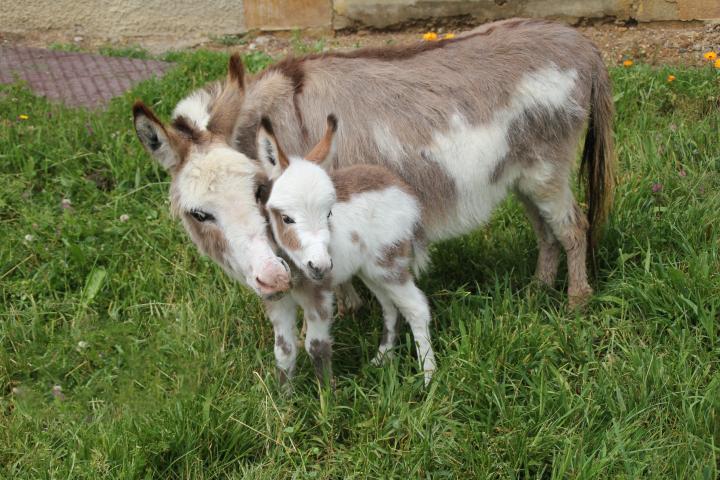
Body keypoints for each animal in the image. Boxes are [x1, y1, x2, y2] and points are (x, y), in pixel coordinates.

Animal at [260, 114, 438, 384]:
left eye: (329, 213)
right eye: (286, 218)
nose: (320, 266)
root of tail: (401, 187)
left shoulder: (319, 296)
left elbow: (316, 347)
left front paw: (326, 394)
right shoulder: (277, 302)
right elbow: (283, 350)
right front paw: (282, 395)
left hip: (389, 264)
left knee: (416, 308)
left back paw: (429, 379)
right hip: (370, 271)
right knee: (390, 307)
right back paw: (381, 359)